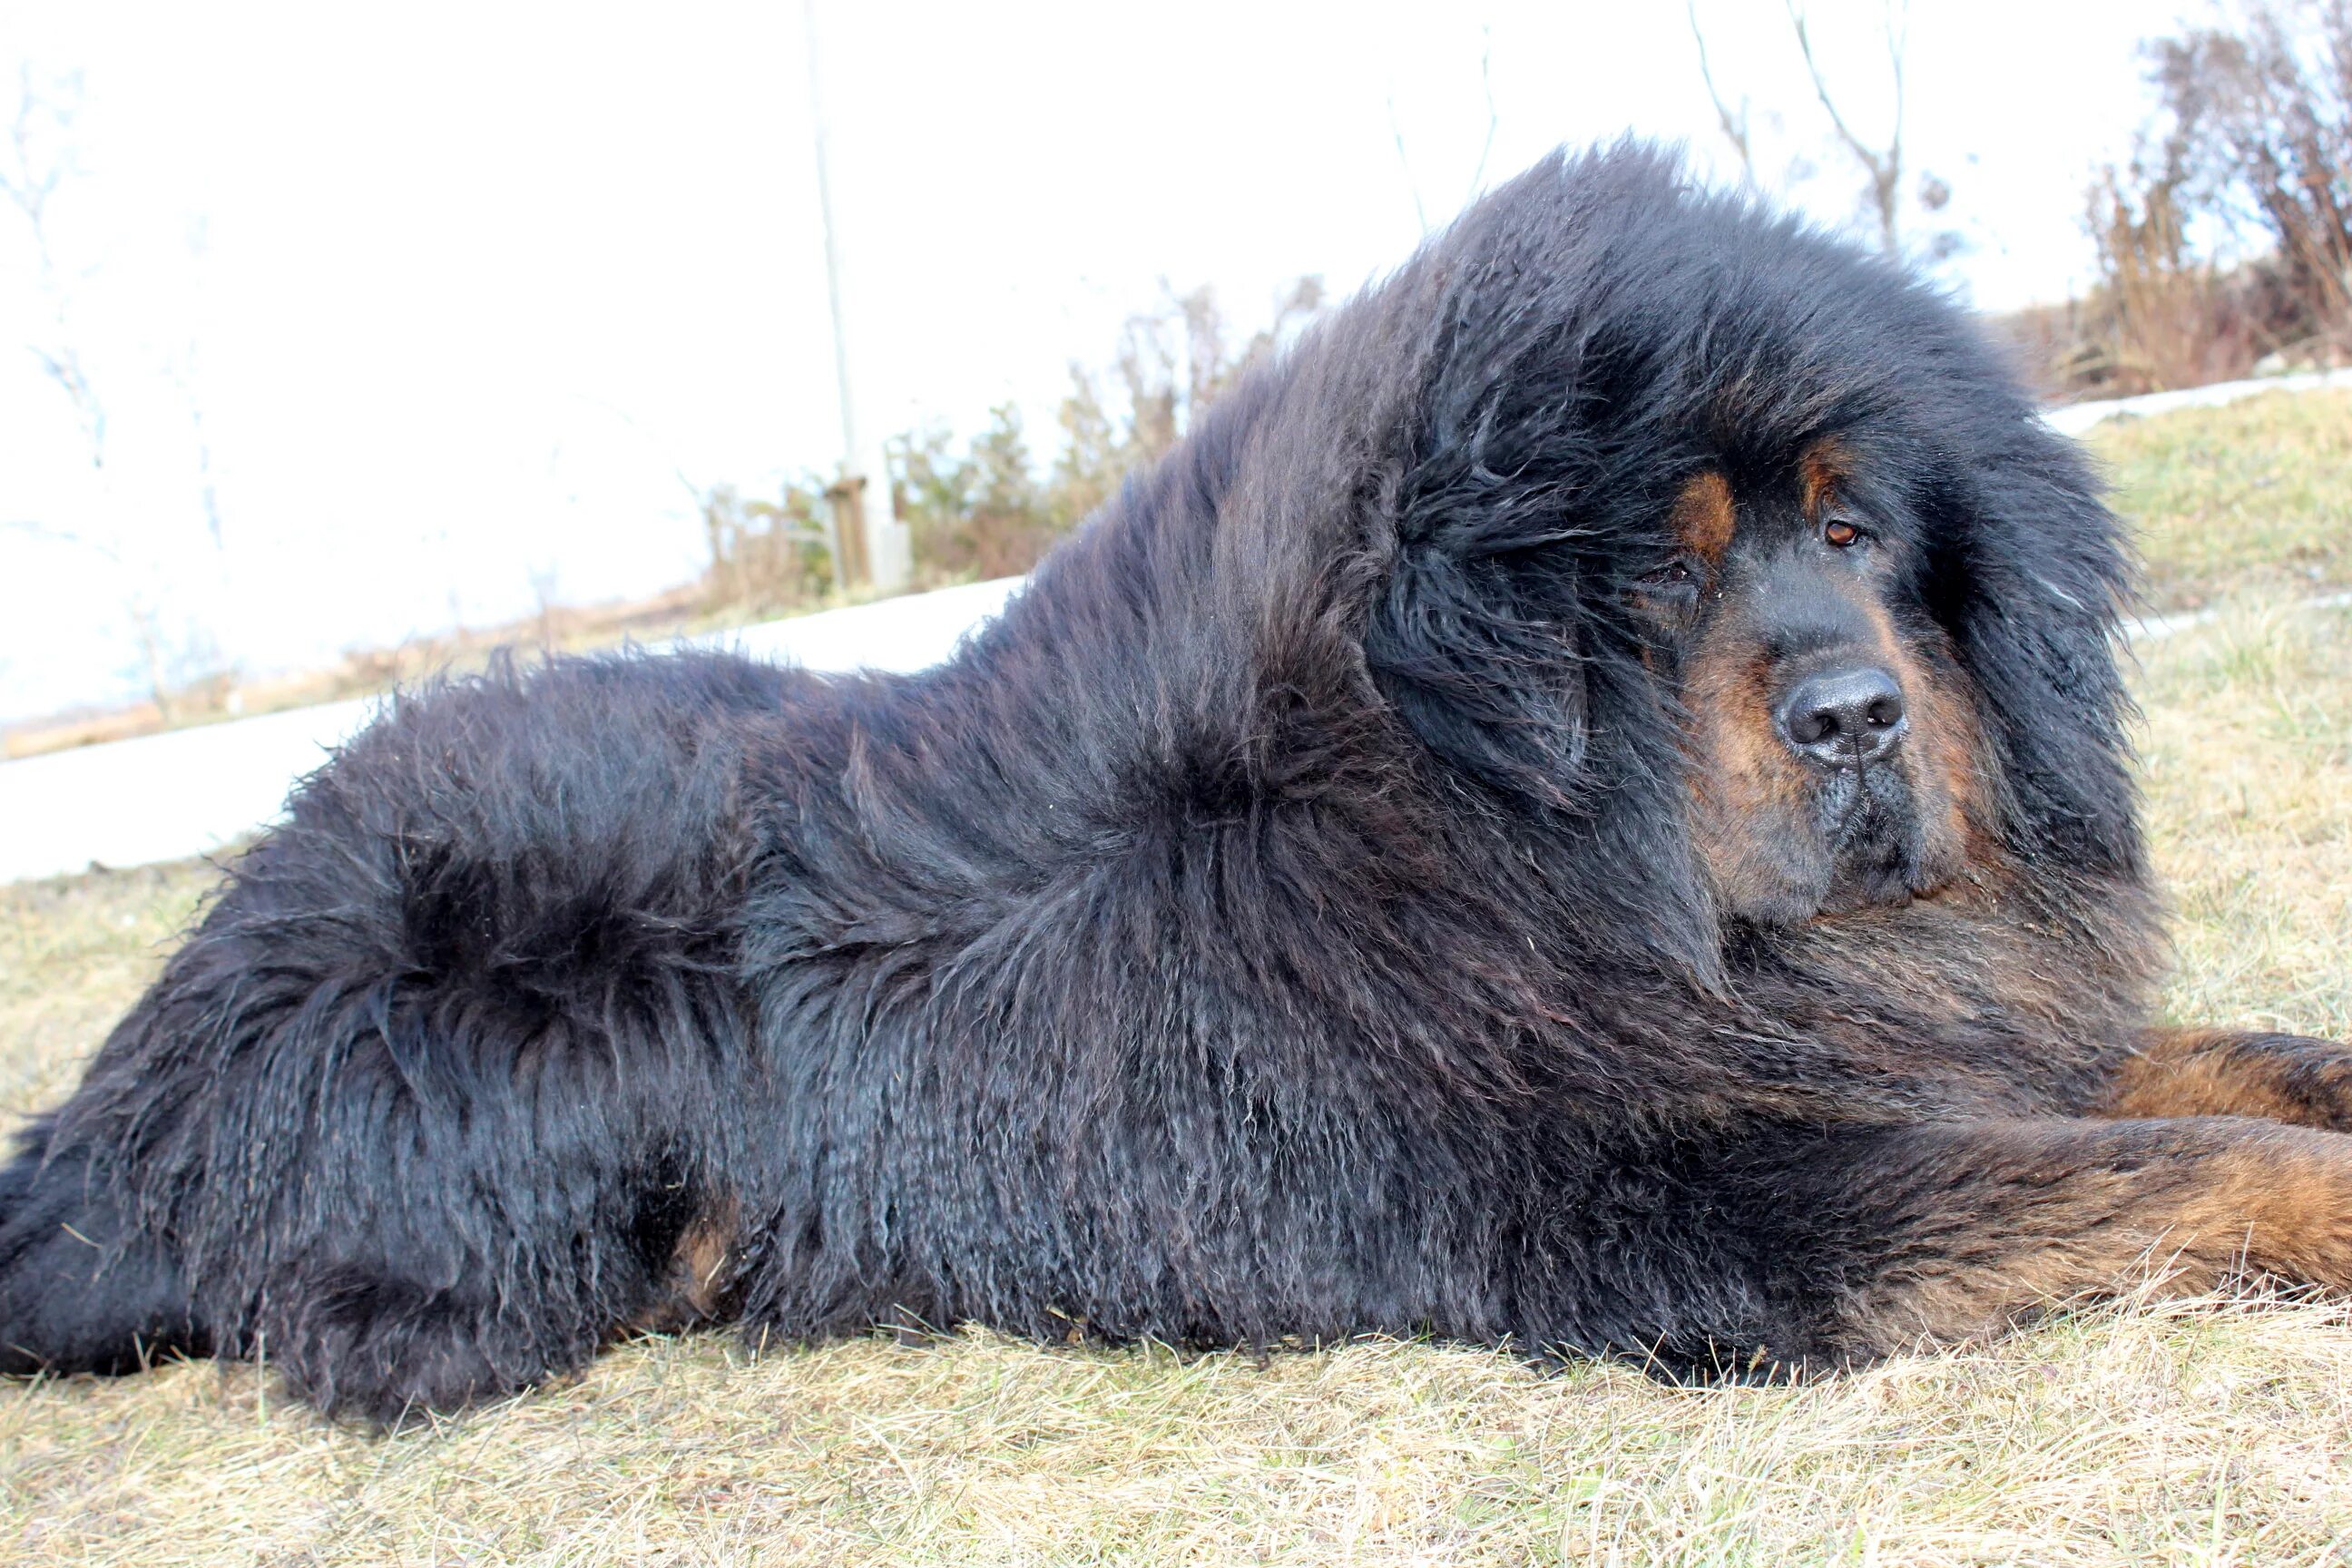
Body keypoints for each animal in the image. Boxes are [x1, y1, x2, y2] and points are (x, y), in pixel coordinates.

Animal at [5, 143, 2352, 1419]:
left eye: (1856, 534)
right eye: (1664, 577)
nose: (1860, 713)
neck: (1499, 849)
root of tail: (143, 1061)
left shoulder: (1926, 1038)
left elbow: (2229, 1062)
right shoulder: (1690, 1198)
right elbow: (2174, 1167)